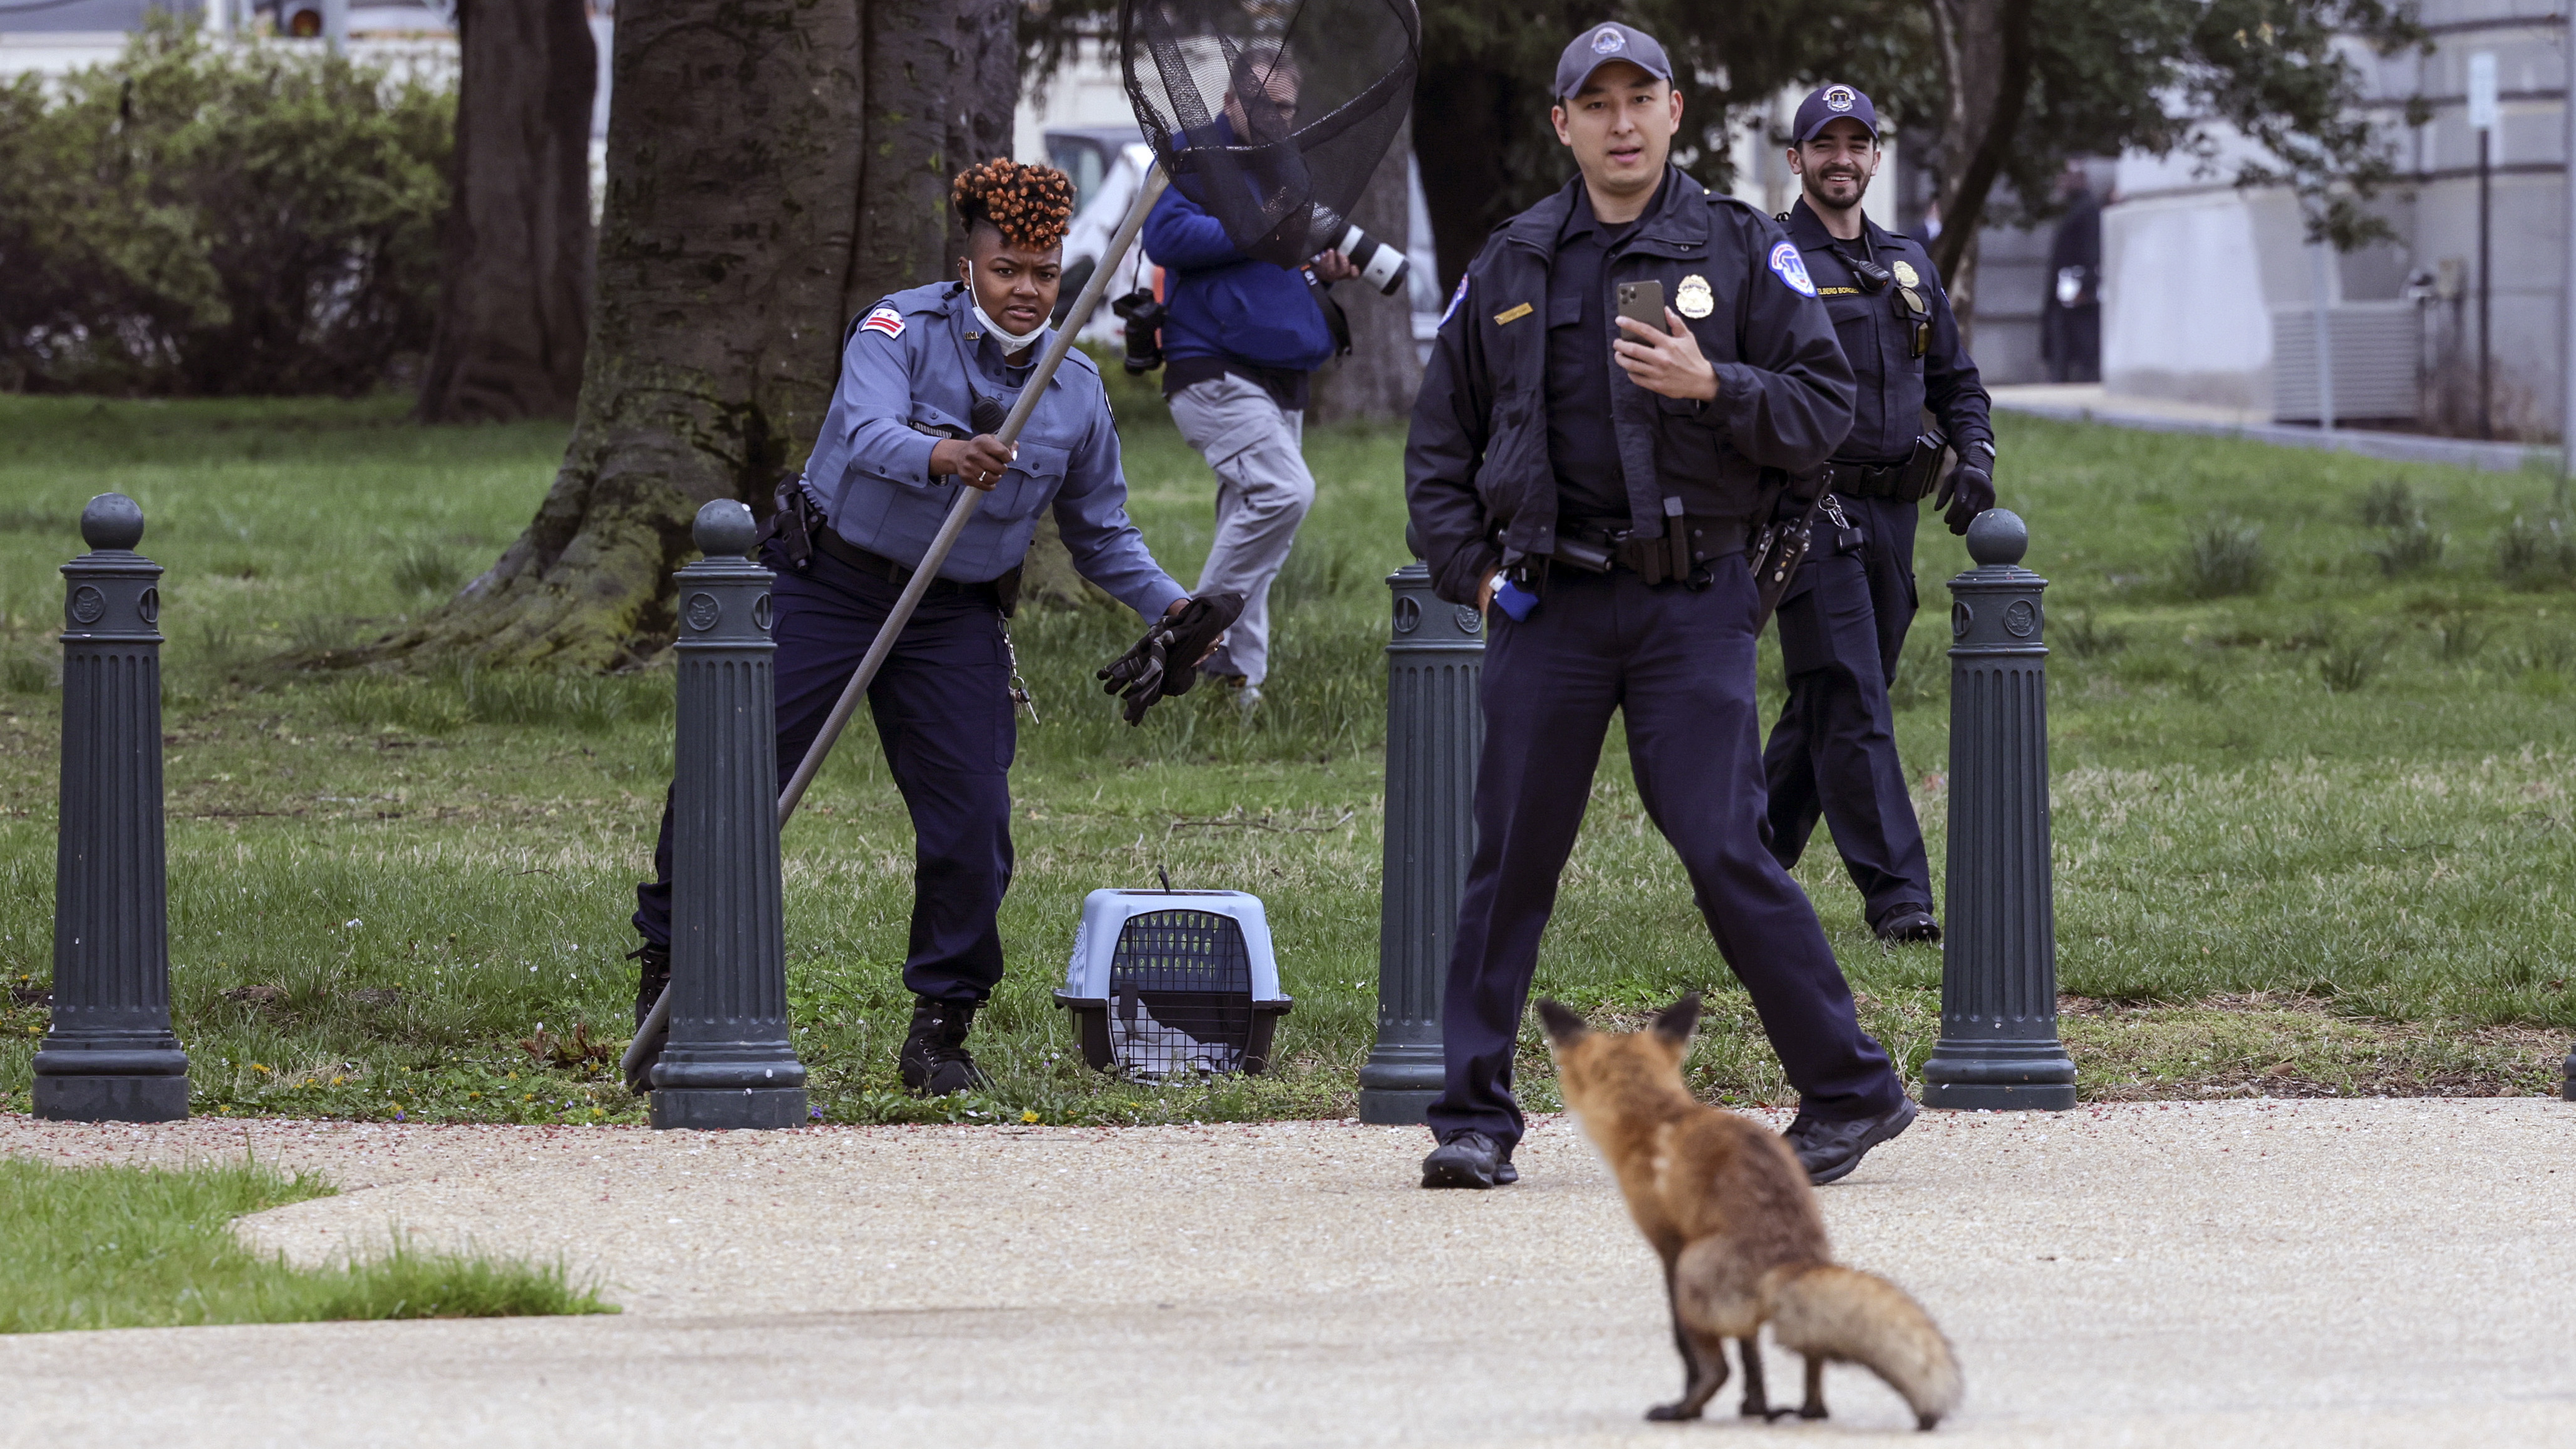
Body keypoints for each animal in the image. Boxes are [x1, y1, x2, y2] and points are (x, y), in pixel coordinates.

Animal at [1535, 985, 1957, 1423]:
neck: (1657, 1118)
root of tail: (1789, 1262)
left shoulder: (1669, 1245)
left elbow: (1687, 1347)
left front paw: (1720, 1402)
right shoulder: (1735, 1314)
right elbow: (1752, 1357)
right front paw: (1755, 1405)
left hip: (1691, 1277)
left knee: (1718, 1369)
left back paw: (1684, 1411)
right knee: (1812, 1355)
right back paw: (1804, 1411)